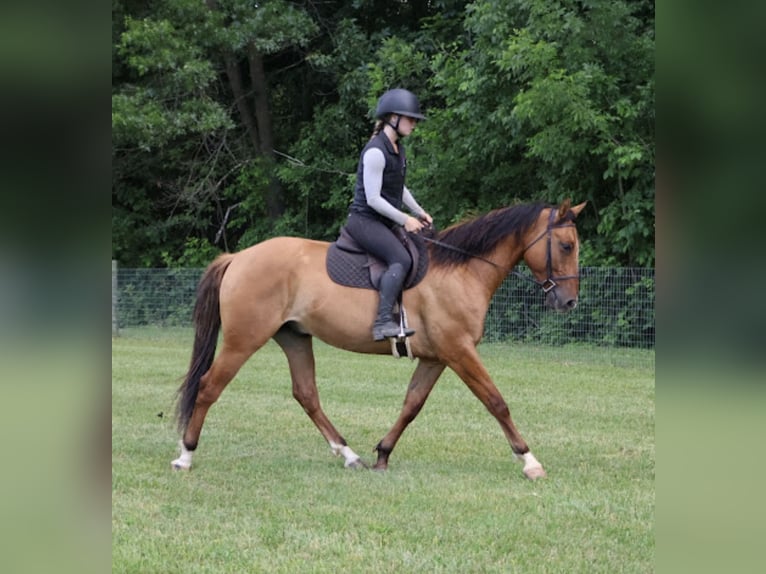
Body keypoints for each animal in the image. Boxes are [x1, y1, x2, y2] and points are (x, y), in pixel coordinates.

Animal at [172, 199, 586, 480]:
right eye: (566, 245)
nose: (568, 302)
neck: (460, 270)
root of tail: (238, 257)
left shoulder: (437, 357)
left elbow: (412, 405)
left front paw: (383, 454)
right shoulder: (459, 351)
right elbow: (496, 402)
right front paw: (530, 461)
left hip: (294, 338)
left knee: (306, 395)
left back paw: (349, 455)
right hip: (243, 341)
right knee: (208, 387)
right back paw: (185, 456)